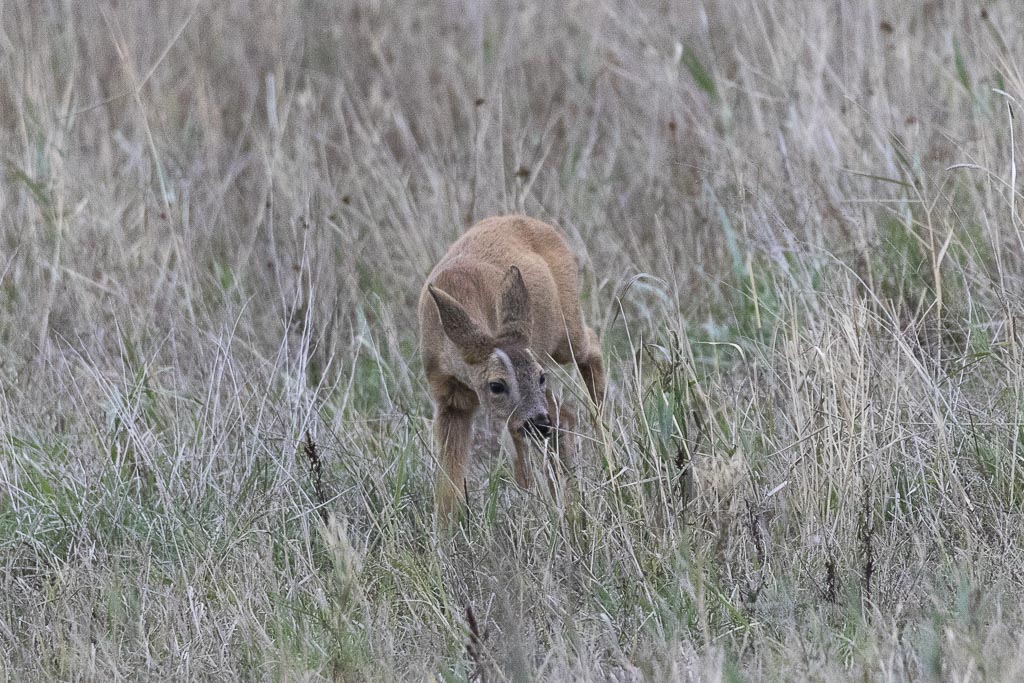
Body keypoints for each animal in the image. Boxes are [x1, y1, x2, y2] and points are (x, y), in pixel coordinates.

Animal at [417, 216, 602, 520]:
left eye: (540, 376)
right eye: (496, 385)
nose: (539, 423)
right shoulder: (449, 397)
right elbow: (448, 483)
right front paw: (445, 529)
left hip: (565, 330)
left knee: (592, 345)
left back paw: (602, 430)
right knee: (562, 414)